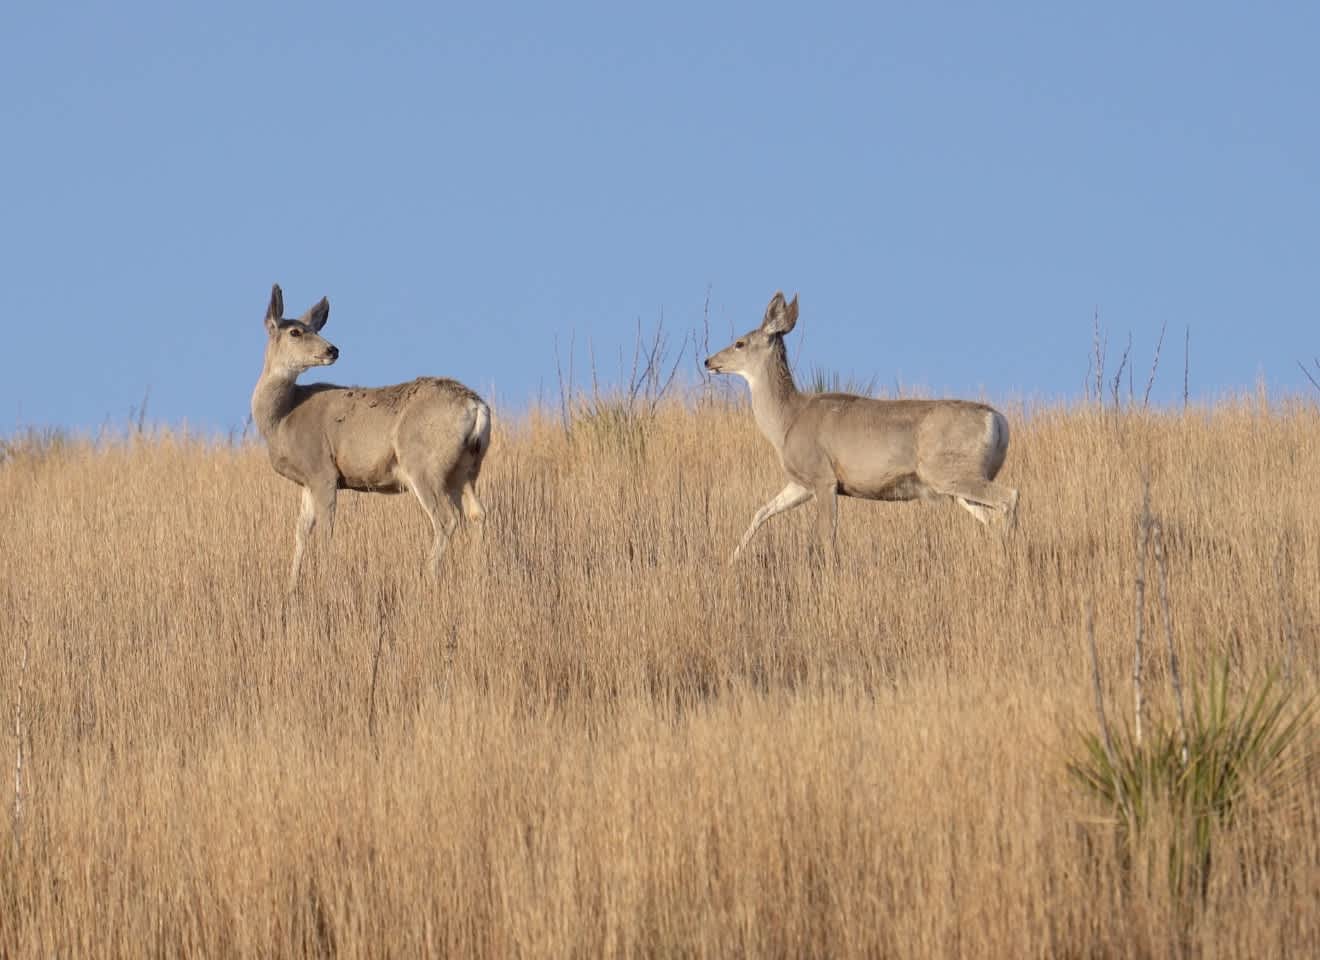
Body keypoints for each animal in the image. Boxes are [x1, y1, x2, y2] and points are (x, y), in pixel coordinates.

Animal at [250, 284, 491, 592]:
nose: (332, 349)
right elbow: (301, 532)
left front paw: (326, 583)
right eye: (296, 331)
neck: (283, 417)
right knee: (477, 514)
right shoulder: (307, 480)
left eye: (313, 329)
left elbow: (325, 532)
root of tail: (476, 405)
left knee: (446, 519)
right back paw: (478, 574)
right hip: (467, 467)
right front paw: (291, 587)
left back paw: (427, 576)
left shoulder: (322, 470)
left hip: (423, 463)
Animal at [704, 291, 1018, 563]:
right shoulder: (801, 483)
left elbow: (826, 536)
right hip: (957, 482)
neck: (787, 421)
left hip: (949, 470)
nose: (708, 361)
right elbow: (762, 511)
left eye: (739, 343)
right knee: (992, 517)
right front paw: (732, 560)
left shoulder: (823, 476)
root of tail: (998, 420)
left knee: (1009, 497)